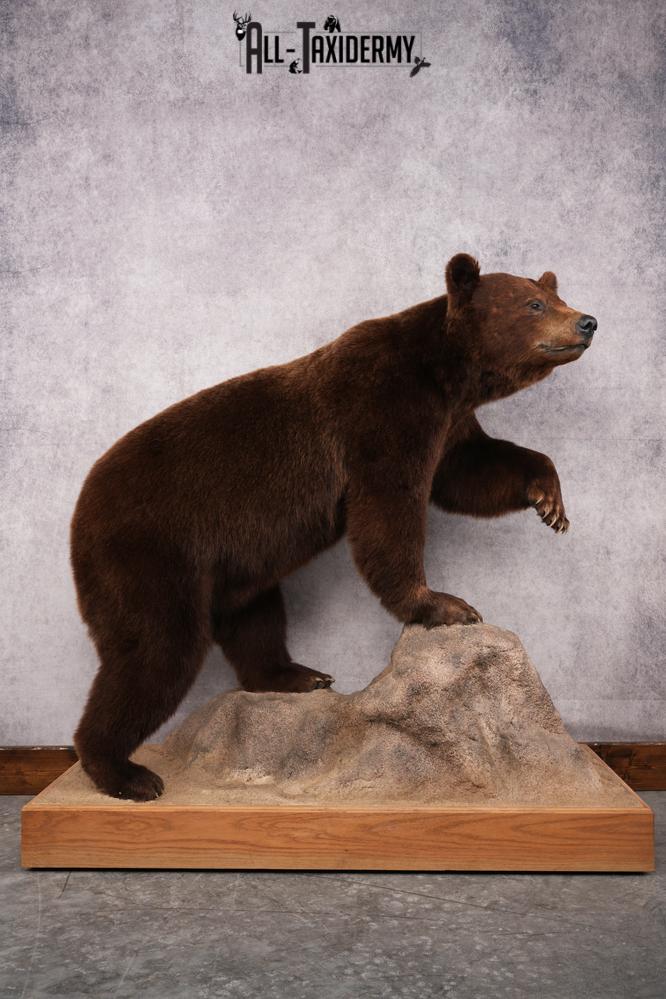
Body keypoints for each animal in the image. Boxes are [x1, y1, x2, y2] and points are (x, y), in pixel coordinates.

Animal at [70, 253, 597, 800]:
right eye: (534, 304)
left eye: (555, 295)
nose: (588, 322)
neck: (444, 373)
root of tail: (81, 509)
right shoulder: (382, 412)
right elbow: (389, 510)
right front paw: (443, 604)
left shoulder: (450, 424)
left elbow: (470, 472)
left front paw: (550, 501)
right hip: (149, 552)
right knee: (156, 652)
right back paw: (123, 771)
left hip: (235, 568)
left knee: (255, 619)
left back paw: (295, 675)